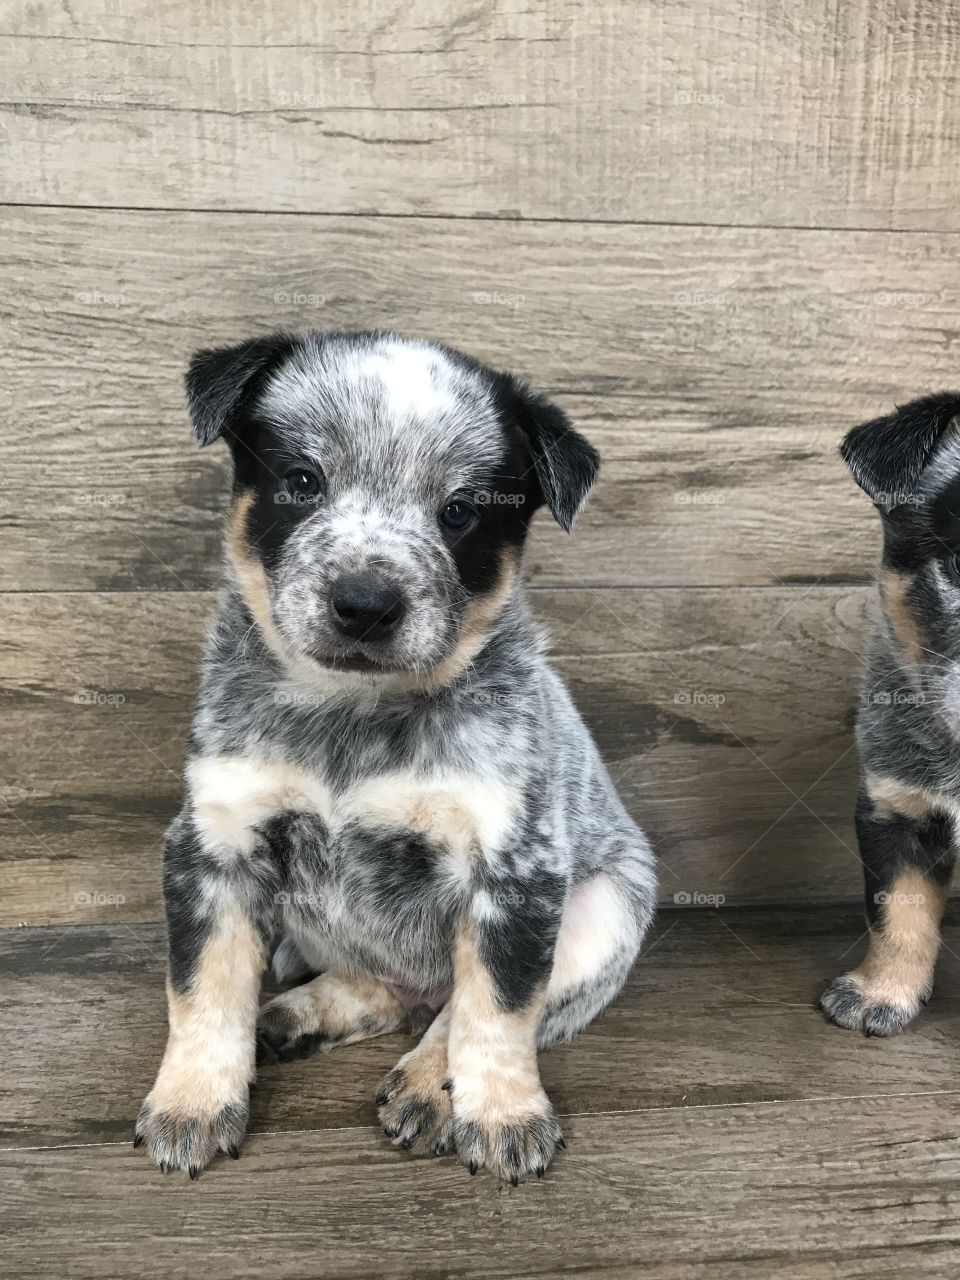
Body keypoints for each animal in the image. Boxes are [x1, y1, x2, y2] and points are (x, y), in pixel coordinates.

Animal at [135, 327, 660, 1177]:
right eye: (303, 480)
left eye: (460, 512)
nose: (365, 603)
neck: (354, 715)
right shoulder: (214, 844)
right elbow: (203, 990)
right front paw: (191, 1101)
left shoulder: (514, 869)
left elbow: (498, 1009)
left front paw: (504, 1114)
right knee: (380, 985)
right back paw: (294, 1017)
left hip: (603, 910)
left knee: (464, 1008)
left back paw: (427, 1085)